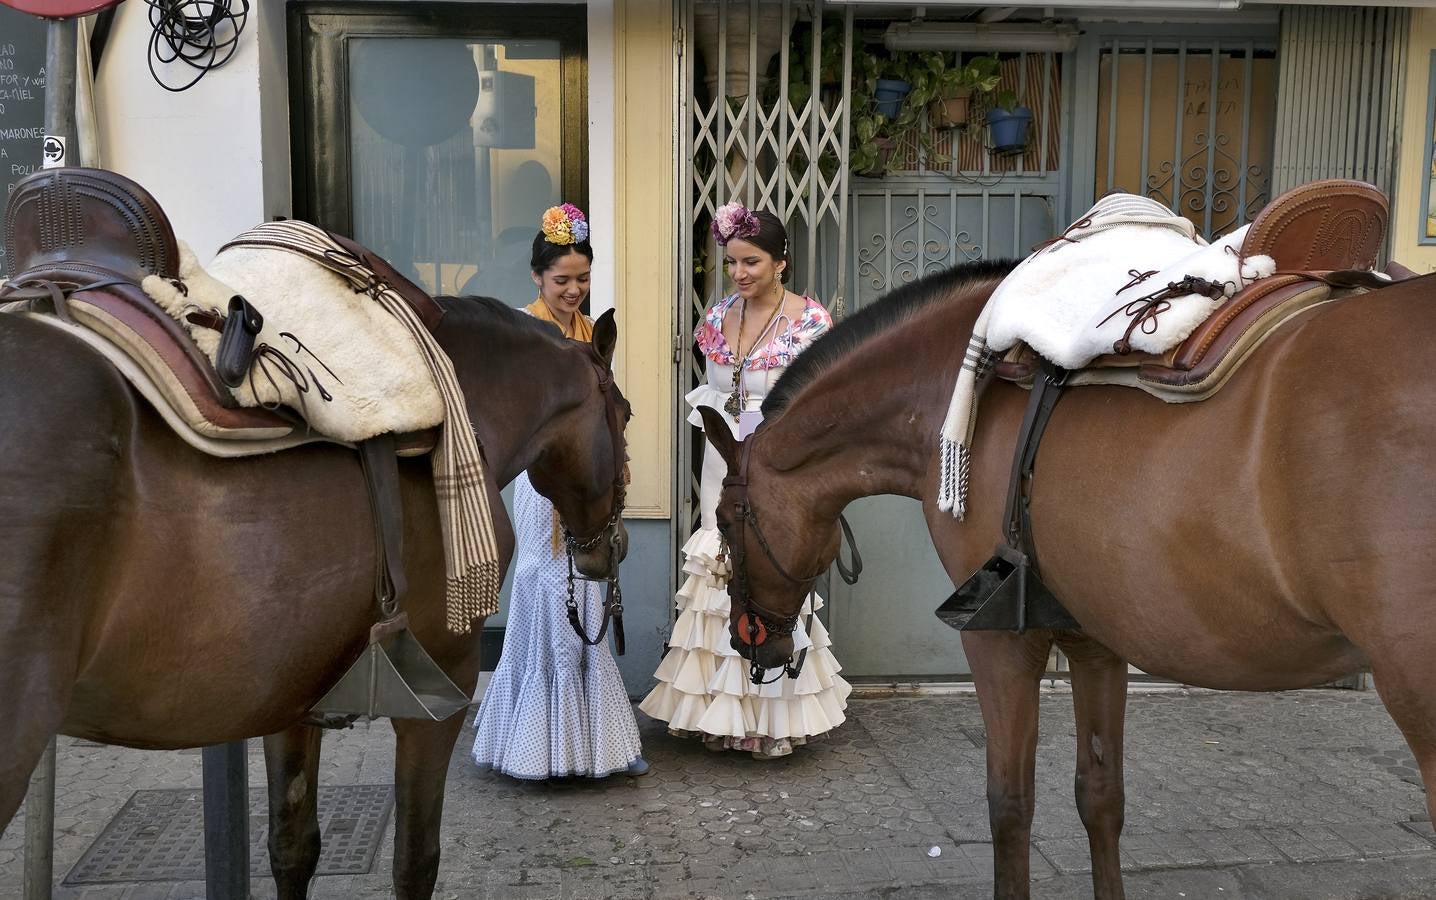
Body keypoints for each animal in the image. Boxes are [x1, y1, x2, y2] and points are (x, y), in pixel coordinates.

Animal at [1, 292, 628, 895]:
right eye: (626, 414)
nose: (612, 547)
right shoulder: (440, 693)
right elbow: (415, 860)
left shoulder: (290, 697)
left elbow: (292, 845)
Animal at [700, 256, 1436, 895]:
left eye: (728, 519)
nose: (746, 638)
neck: (954, 387)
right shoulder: (1097, 638)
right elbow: (1100, 796)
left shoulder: (1000, 641)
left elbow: (1010, 803)